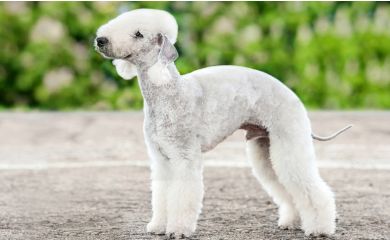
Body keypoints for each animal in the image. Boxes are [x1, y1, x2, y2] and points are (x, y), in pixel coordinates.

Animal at [95, 8, 350, 238]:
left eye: (138, 34)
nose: (100, 40)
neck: (167, 92)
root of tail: (293, 95)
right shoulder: (161, 159)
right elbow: (162, 194)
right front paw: (158, 226)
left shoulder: (185, 157)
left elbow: (183, 196)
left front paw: (178, 230)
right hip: (265, 147)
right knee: (284, 186)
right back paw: (293, 222)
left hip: (289, 141)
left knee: (311, 187)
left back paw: (320, 229)